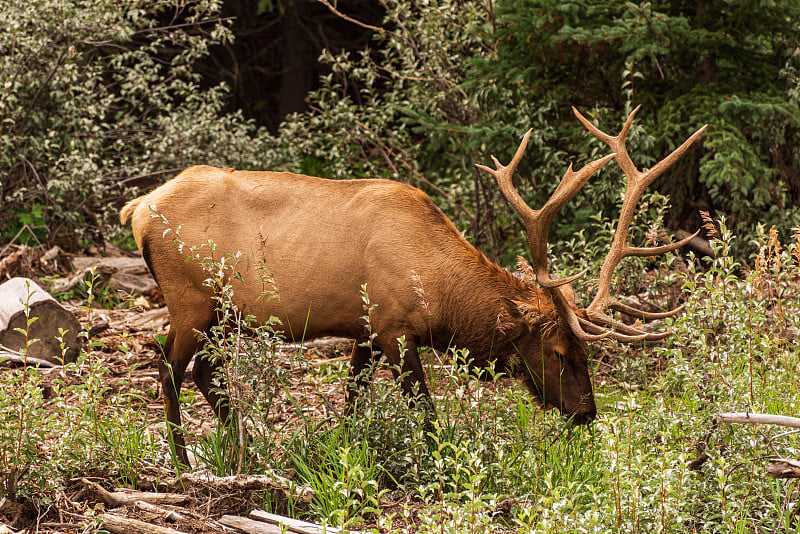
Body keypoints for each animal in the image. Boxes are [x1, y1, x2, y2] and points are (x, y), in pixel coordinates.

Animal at [120, 104, 708, 464]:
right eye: (561, 352)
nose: (587, 412)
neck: (442, 297)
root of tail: (137, 209)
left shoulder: (363, 329)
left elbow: (353, 397)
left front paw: (343, 448)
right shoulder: (395, 327)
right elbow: (423, 410)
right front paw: (439, 461)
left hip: (222, 311)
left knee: (204, 371)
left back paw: (248, 445)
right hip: (190, 299)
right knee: (167, 368)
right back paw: (184, 462)